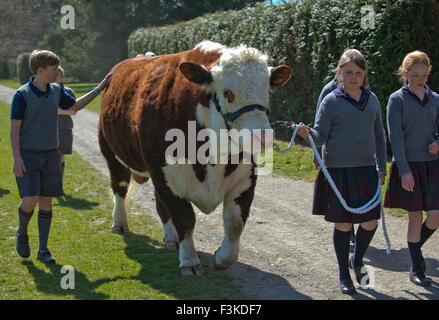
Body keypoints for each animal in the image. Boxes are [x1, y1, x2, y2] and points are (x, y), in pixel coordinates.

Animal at [99, 40, 292, 276]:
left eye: (267, 90)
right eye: (227, 92)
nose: (262, 136)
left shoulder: (245, 178)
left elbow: (235, 223)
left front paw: (221, 258)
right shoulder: (165, 175)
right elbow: (185, 218)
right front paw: (189, 261)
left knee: (159, 205)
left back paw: (171, 239)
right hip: (111, 152)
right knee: (119, 187)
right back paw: (119, 223)